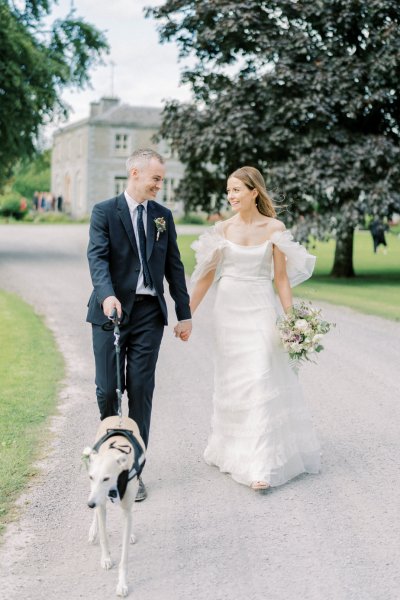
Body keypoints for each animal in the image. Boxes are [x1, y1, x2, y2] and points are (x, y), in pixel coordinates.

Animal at [83, 418, 146, 596]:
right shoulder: (98, 500)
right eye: (91, 477)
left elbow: (124, 555)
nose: (89, 505)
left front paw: (122, 584)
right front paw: (106, 559)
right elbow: (104, 537)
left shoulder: (125, 505)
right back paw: (93, 531)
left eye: (106, 478)